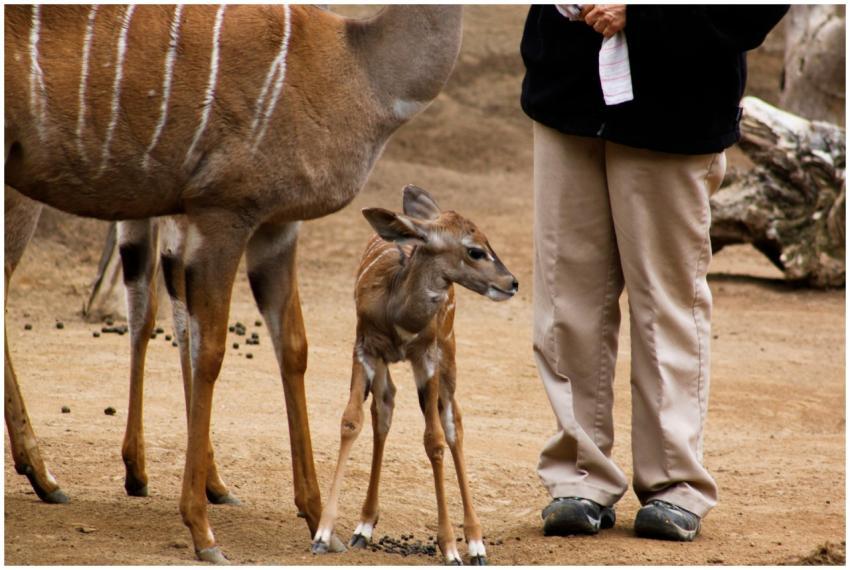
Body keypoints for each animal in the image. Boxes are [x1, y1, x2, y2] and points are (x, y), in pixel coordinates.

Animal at [4, 5, 462, 562]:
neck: (355, 65)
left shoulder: (275, 225)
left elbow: (293, 347)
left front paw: (316, 517)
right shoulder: (222, 211)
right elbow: (210, 349)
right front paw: (201, 528)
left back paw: (56, 476)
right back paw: (46, 473)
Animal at [310, 186, 518, 565]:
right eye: (475, 250)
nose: (512, 282)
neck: (399, 311)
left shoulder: (428, 357)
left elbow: (433, 440)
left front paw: (451, 548)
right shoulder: (365, 347)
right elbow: (351, 421)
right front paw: (323, 534)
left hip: (449, 354)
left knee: (453, 423)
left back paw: (476, 544)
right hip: (389, 365)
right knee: (385, 408)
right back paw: (364, 526)